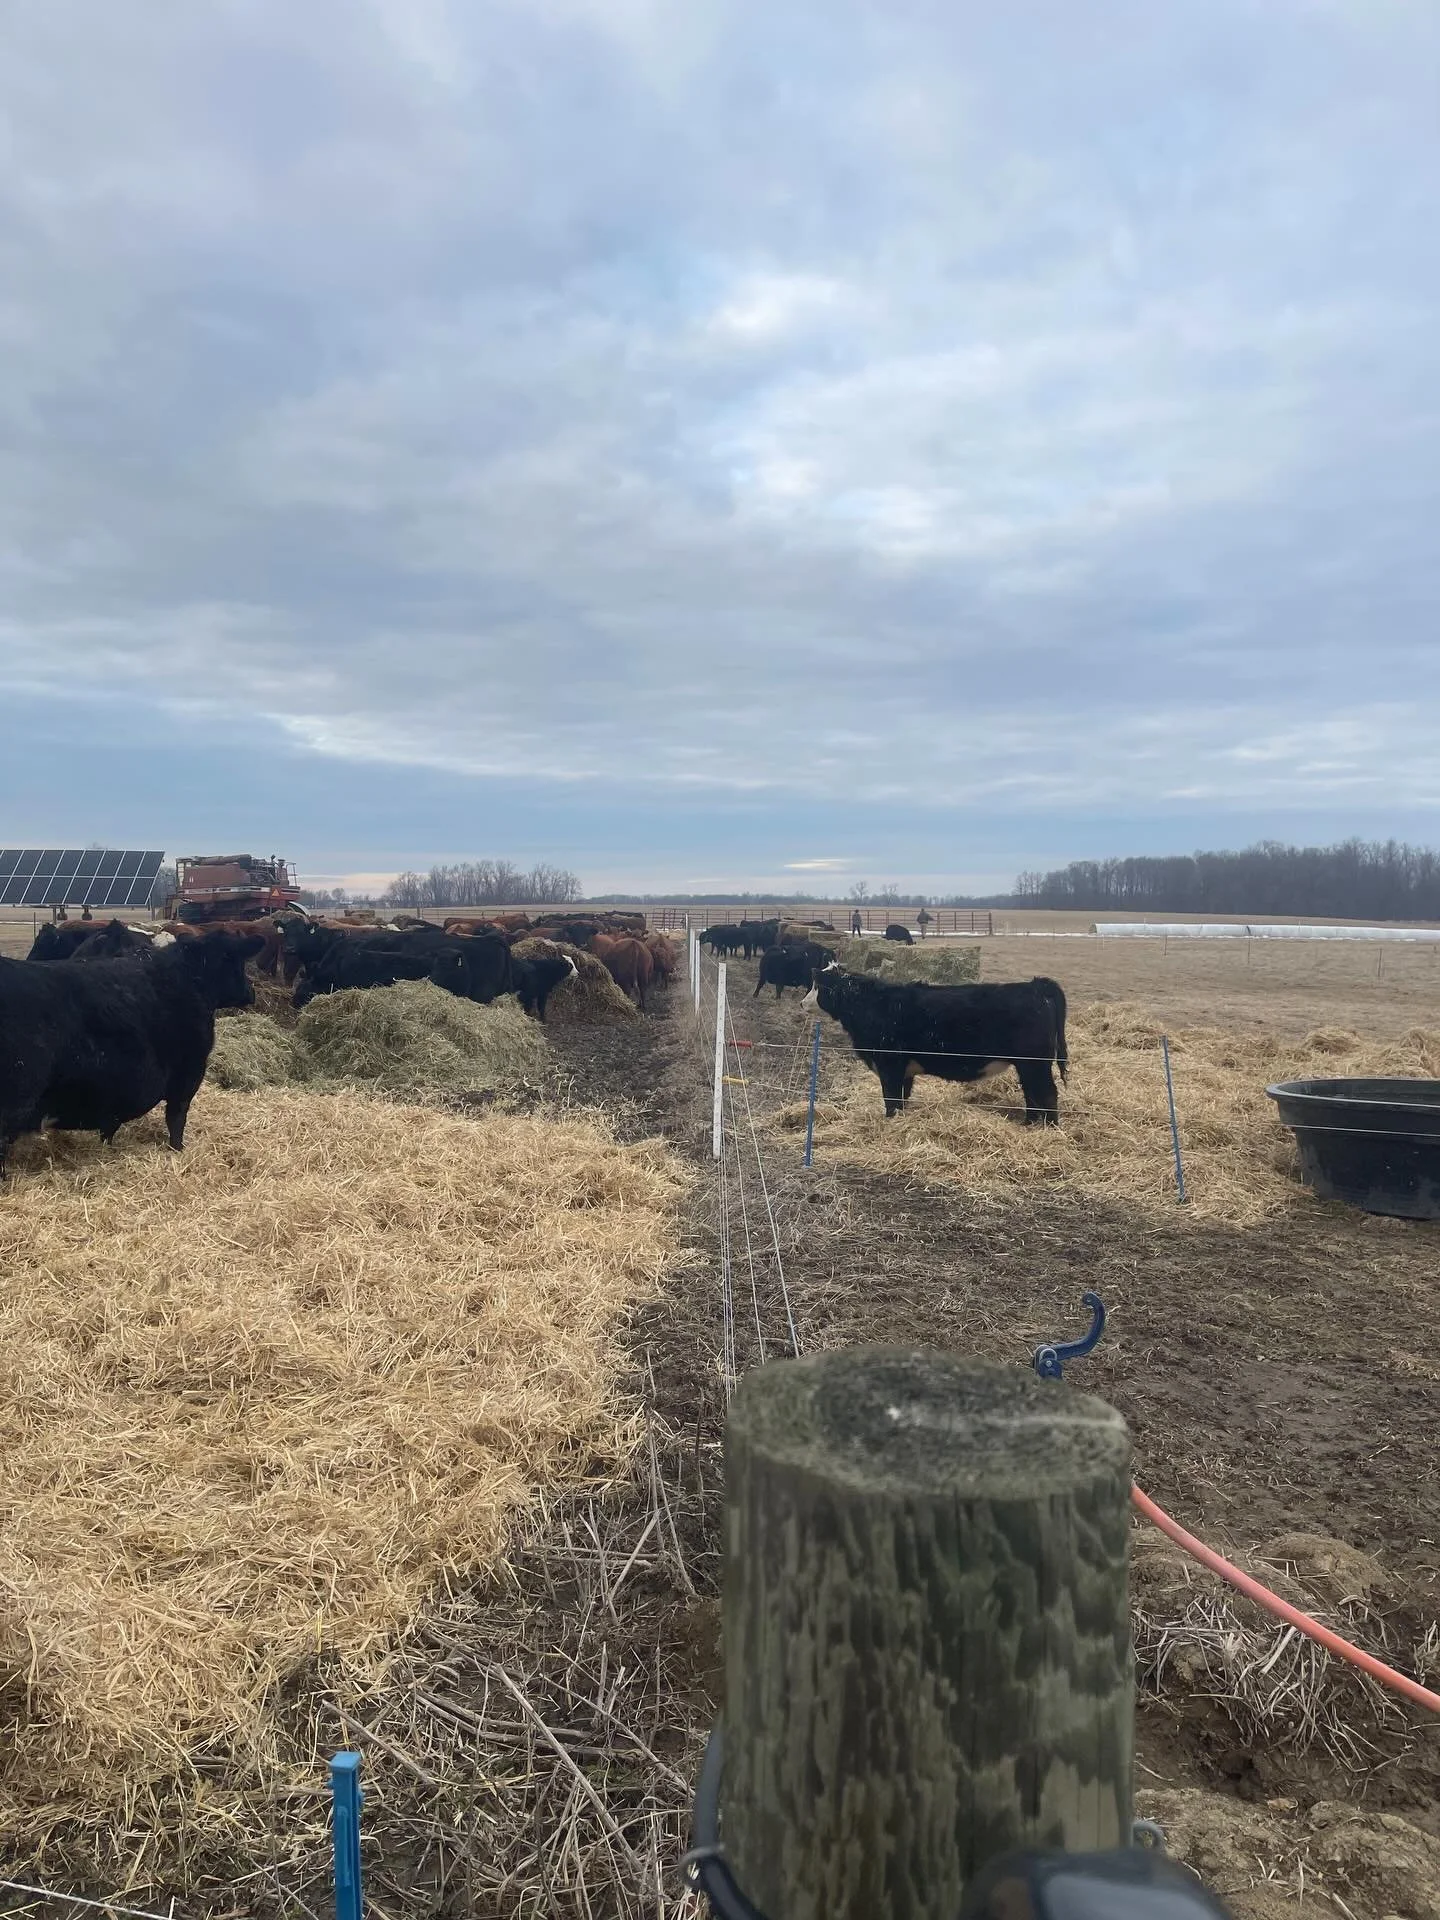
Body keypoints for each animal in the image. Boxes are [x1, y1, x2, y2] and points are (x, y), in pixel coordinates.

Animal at [0, 930, 266, 1174]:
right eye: (238, 962)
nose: (251, 992)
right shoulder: (188, 1075)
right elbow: (176, 1120)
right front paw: (178, 1151)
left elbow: (109, 1128)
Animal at [804, 965, 1068, 1124]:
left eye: (817, 986)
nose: (801, 1003)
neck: (872, 1005)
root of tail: (1035, 985)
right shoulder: (904, 1071)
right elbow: (901, 1099)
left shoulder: (890, 1065)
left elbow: (891, 1099)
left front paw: (890, 1122)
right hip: (1028, 1065)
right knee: (1032, 1094)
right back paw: (1029, 1124)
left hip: (1035, 1063)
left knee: (1046, 1094)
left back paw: (1048, 1128)